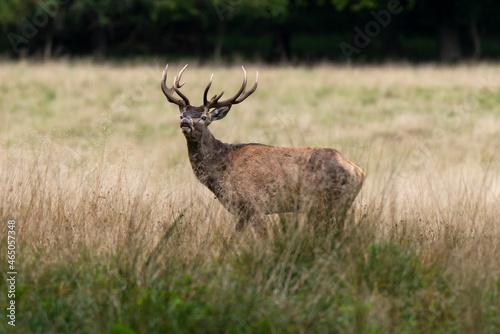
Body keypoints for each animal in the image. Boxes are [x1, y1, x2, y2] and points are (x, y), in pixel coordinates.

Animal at [162, 64, 366, 231]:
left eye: (204, 117)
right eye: (182, 115)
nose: (185, 122)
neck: (221, 171)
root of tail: (358, 171)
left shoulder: (254, 204)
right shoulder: (241, 211)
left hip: (330, 202)